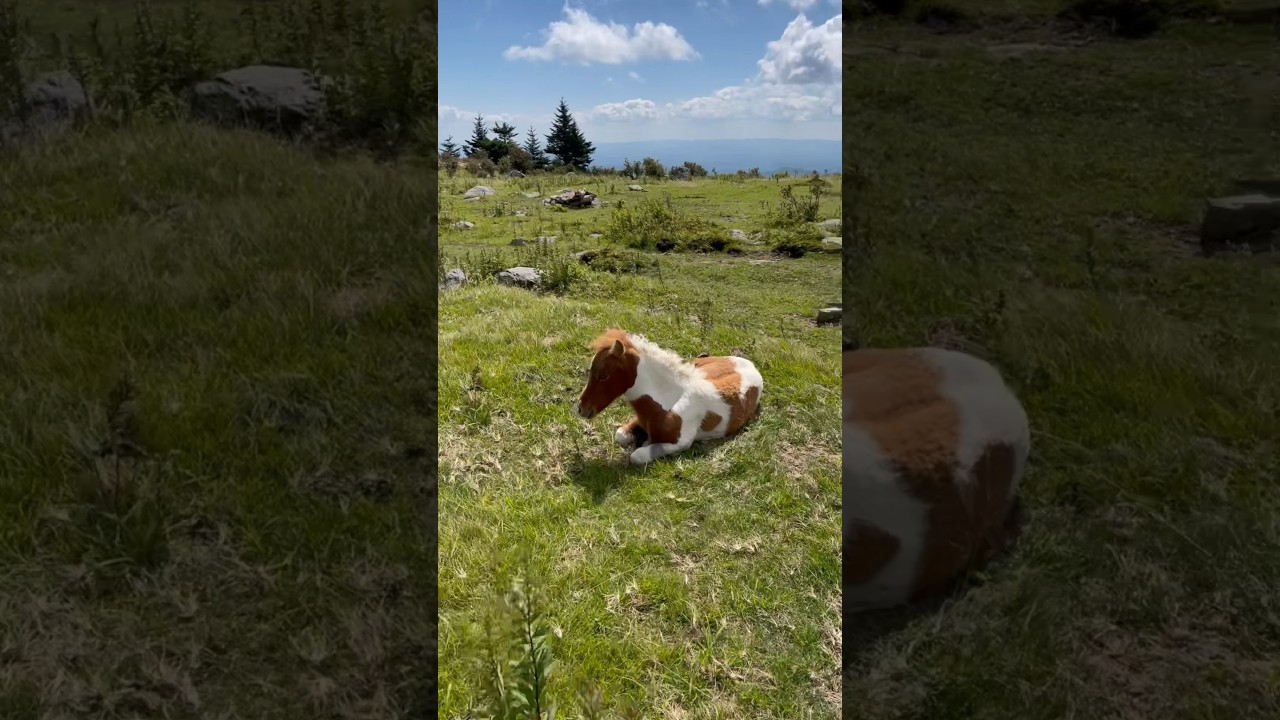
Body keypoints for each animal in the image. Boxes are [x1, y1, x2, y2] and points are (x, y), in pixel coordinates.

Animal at [575, 329, 763, 465]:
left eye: (603, 376)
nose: (581, 408)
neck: (669, 401)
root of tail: (750, 364)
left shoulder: (681, 443)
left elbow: (638, 455)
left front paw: (644, 443)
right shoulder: (639, 420)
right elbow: (620, 435)